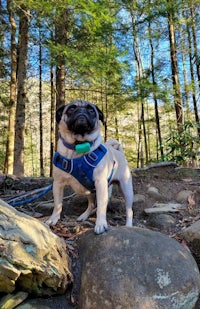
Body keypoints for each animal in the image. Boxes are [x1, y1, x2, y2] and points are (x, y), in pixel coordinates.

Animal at [46, 100, 134, 232]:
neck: (78, 145)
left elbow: (102, 206)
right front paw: (53, 219)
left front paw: (101, 224)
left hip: (126, 189)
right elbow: (58, 204)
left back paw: (128, 225)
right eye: (71, 109)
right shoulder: (58, 183)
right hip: (89, 191)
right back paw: (84, 216)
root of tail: (118, 152)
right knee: (91, 204)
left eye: (91, 110)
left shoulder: (100, 184)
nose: (82, 111)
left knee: (129, 210)